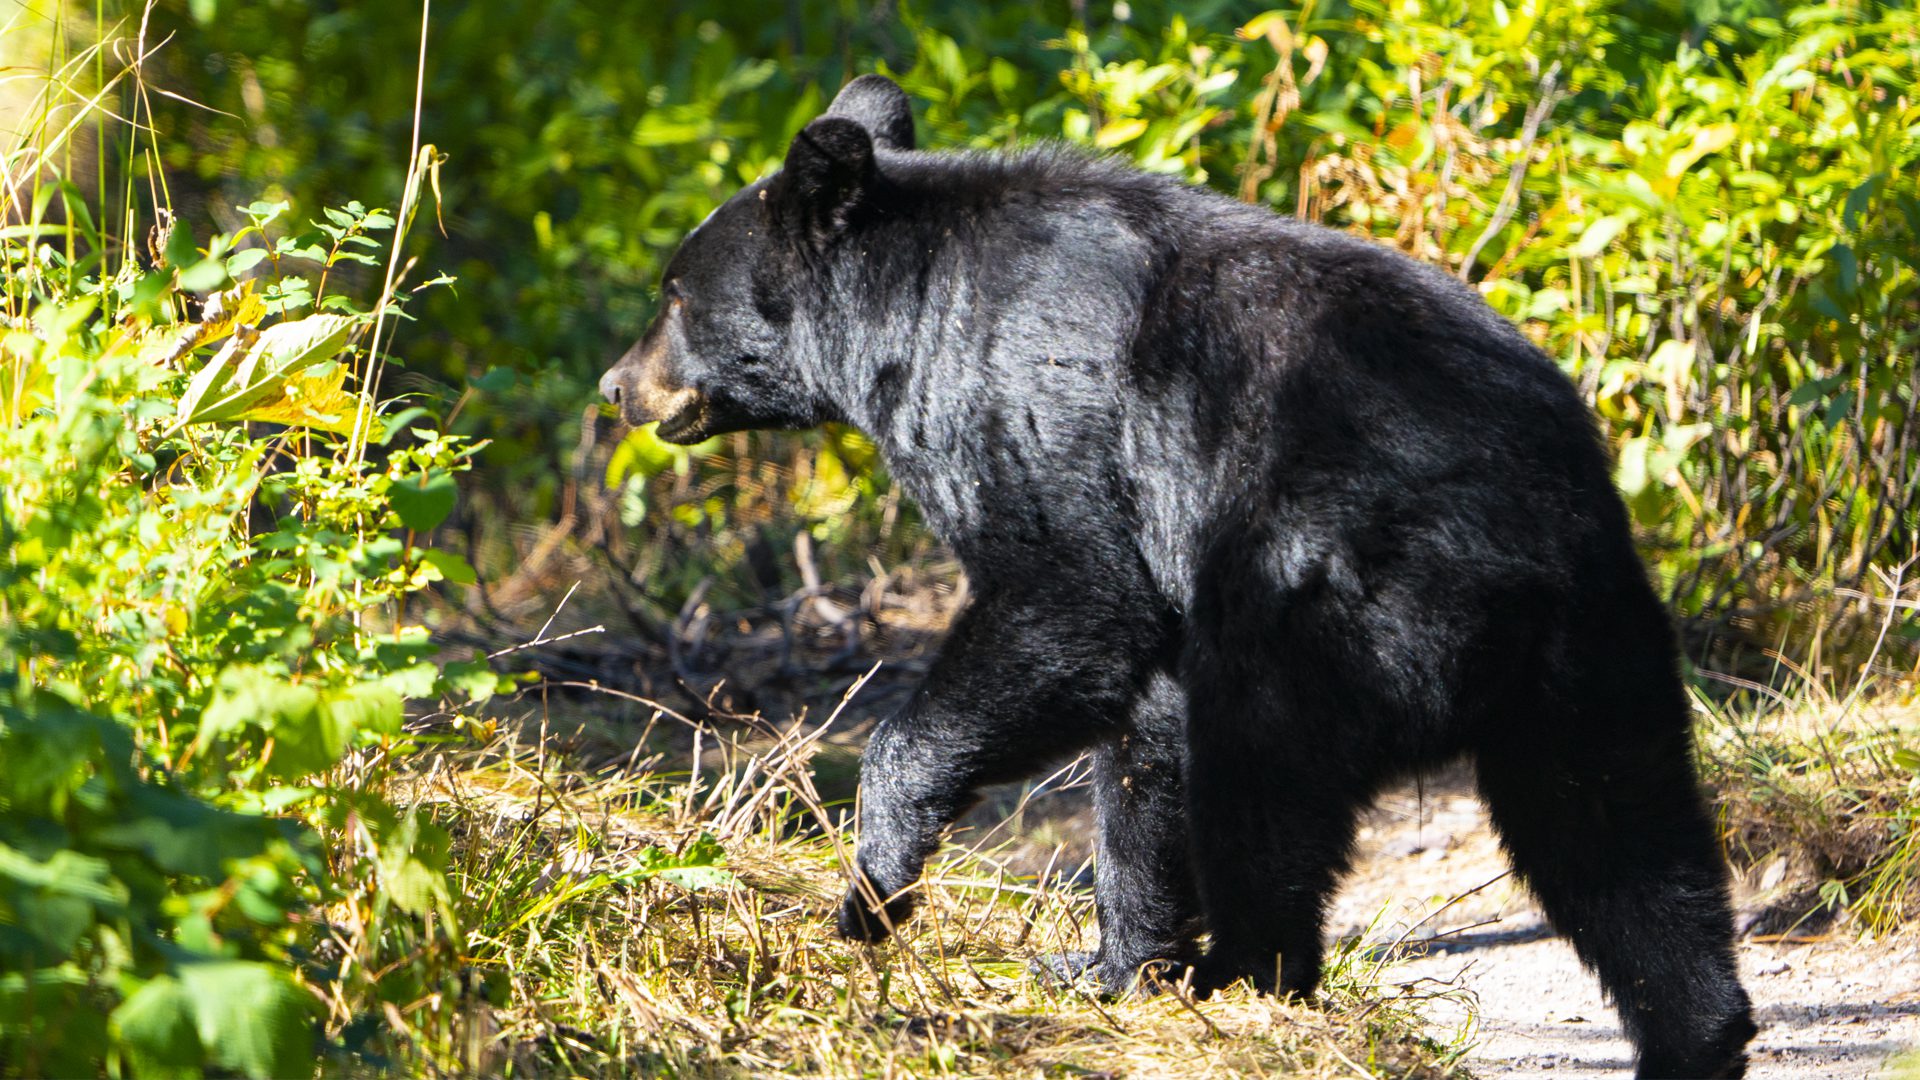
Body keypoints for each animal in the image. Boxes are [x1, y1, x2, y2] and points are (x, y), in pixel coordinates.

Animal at [599, 71, 1758, 1068]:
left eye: (674, 292)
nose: (616, 385)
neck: (904, 310)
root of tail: (1516, 571)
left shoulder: (1027, 408)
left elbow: (1068, 599)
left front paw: (872, 891)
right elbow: (1142, 744)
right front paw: (1108, 962)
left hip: (1326, 610)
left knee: (1263, 790)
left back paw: (1246, 979)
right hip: (1594, 660)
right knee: (1623, 846)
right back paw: (1698, 1033)